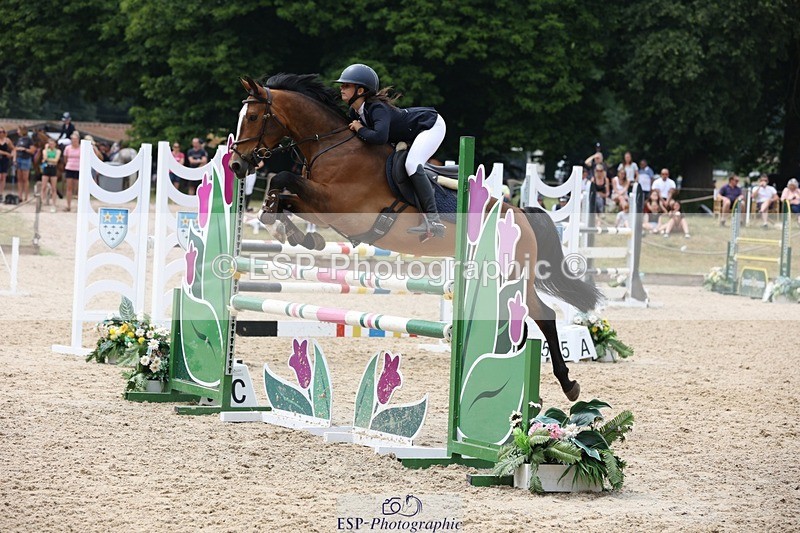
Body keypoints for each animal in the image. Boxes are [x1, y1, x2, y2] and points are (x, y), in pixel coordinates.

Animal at [228, 74, 601, 401]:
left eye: (255, 116)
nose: (236, 166)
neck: (331, 146)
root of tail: (520, 212)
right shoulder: (320, 206)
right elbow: (284, 195)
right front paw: (296, 234)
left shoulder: (339, 204)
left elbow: (282, 177)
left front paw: (287, 226)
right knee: (530, 319)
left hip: (510, 276)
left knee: (542, 316)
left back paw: (564, 384)